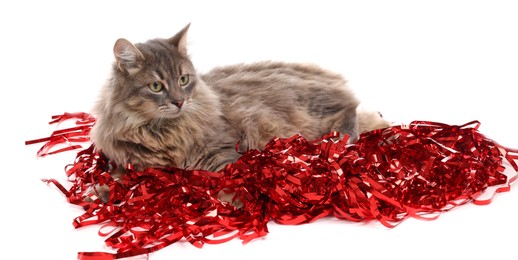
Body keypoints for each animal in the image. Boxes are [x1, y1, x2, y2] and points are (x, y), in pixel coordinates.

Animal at [90, 23, 390, 176]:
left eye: (183, 80)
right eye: (155, 86)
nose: (179, 102)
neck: (163, 134)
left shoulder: (220, 149)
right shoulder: (133, 164)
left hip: (311, 108)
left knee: (348, 109)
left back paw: (341, 145)